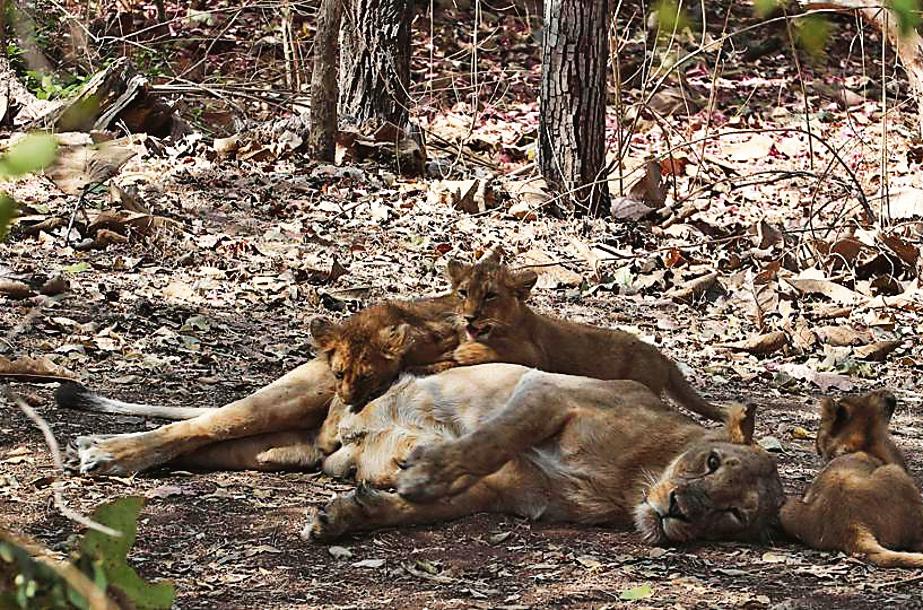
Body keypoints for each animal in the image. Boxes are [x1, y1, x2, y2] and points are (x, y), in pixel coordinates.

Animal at [303, 363, 784, 544]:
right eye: (712, 462)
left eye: (733, 514)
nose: (680, 510)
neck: (628, 484)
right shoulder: (546, 391)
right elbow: (493, 439)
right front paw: (425, 471)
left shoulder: (502, 489)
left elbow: (411, 510)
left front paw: (344, 517)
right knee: (336, 413)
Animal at [444, 253, 724, 422]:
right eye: (463, 292)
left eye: (490, 296)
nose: (469, 317)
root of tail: (661, 356)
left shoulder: (537, 355)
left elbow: (503, 350)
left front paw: (466, 352)